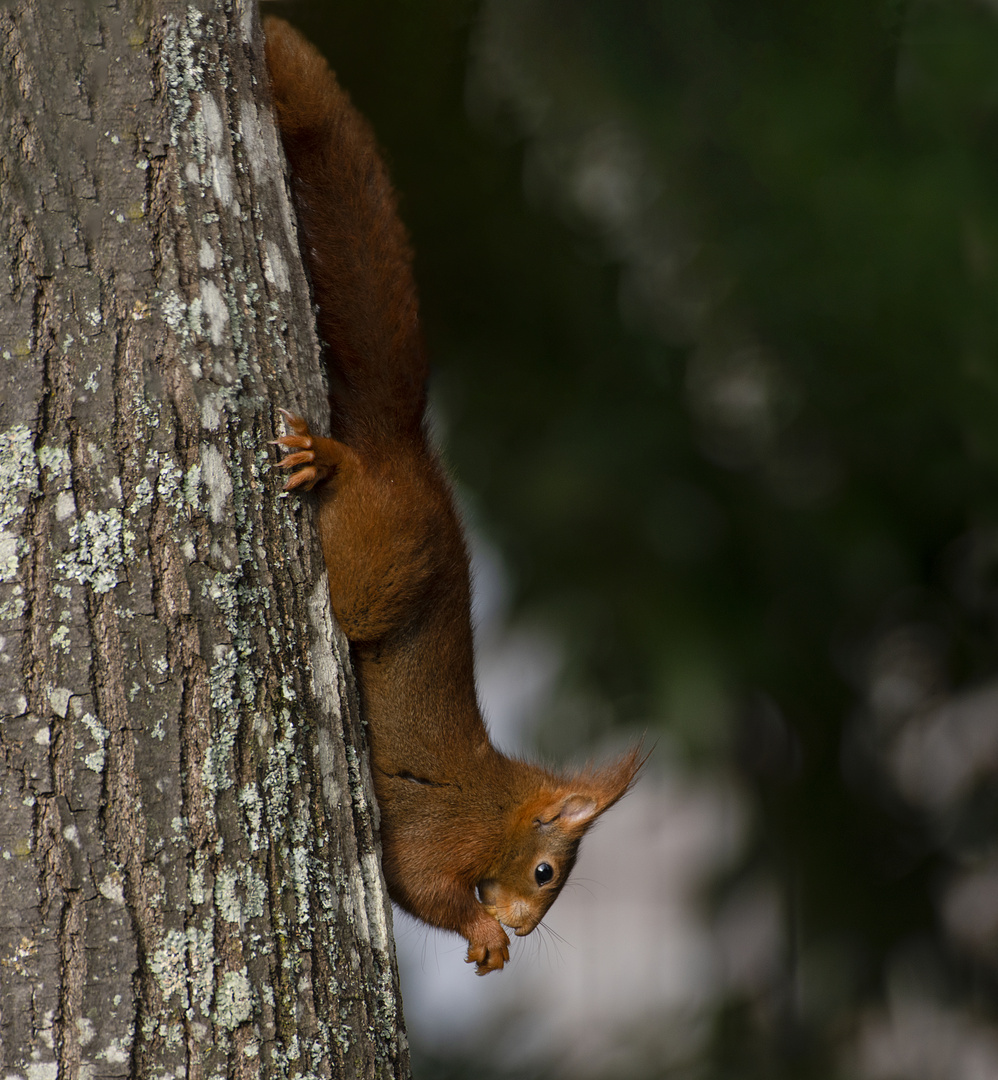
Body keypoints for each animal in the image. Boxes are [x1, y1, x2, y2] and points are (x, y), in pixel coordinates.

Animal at [264, 16, 643, 976]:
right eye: (546, 872)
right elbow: (419, 885)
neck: (502, 804)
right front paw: (483, 933)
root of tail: (413, 459)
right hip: (379, 559)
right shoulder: (442, 832)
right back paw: (324, 457)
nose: (525, 926)